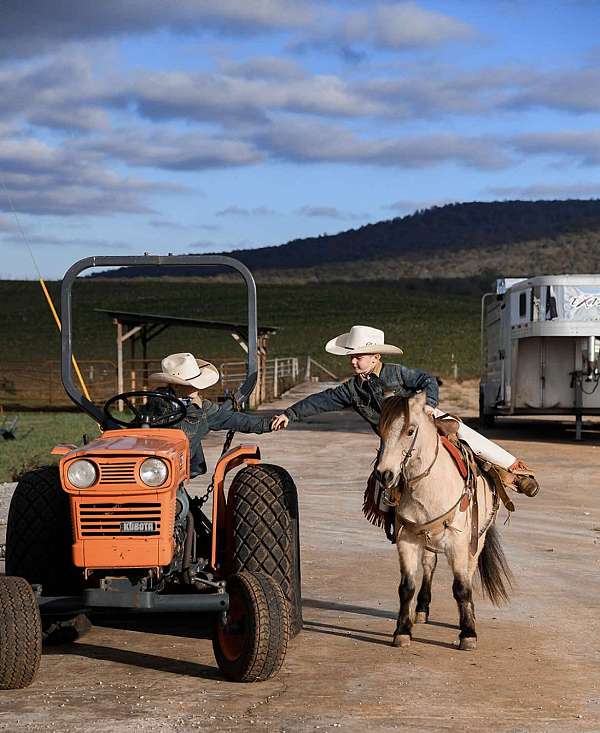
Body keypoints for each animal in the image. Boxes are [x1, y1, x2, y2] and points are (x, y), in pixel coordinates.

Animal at [376, 392, 510, 648]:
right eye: (380, 430)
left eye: (410, 430)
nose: (384, 474)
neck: (429, 486)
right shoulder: (407, 539)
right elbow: (406, 587)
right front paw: (402, 631)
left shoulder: (458, 543)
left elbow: (461, 587)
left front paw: (468, 633)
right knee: (429, 564)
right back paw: (421, 609)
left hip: (476, 541)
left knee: (468, 573)